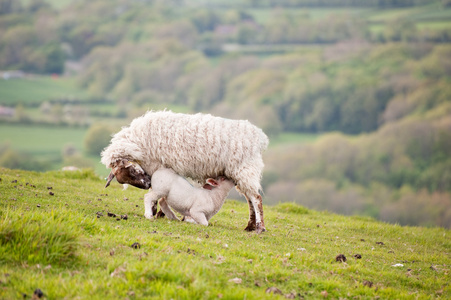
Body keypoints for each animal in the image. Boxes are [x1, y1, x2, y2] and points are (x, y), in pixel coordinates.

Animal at [103, 111, 270, 233]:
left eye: (131, 170)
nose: (146, 184)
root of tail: (260, 137)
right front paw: (160, 212)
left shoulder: (159, 165)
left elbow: (157, 193)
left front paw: (156, 212)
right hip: (242, 172)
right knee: (249, 198)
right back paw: (250, 226)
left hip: (245, 168)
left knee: (256, 198)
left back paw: (260, 227)